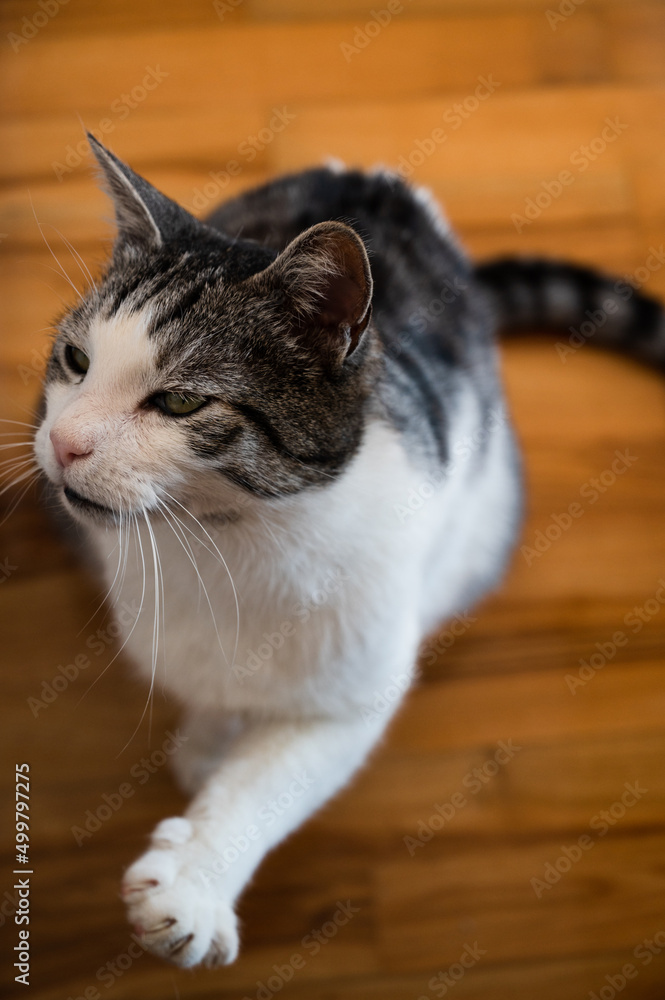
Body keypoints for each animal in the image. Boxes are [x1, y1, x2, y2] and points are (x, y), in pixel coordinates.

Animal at [32, 135, 664, 968]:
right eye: (76, 360)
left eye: (180, 400)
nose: (65, 443)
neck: (220, 542)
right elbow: (208, 686)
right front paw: (210, 736)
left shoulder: (358, 665)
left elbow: (279, 775)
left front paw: (196, 878)